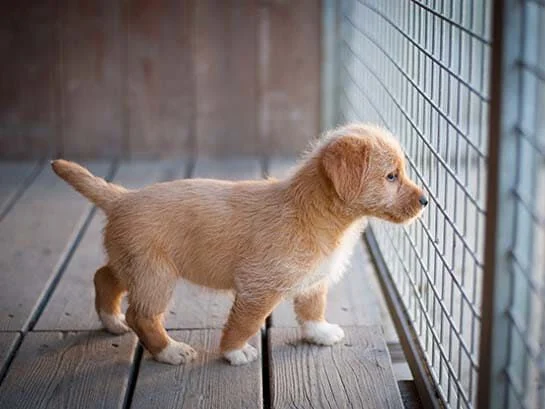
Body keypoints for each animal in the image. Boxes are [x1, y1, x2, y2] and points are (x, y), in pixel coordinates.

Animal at [51, 122, 424, 364]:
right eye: (391, 176)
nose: (425, 202)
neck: (314, 211)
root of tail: (121, 198)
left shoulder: (313, 280)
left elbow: (312, 308)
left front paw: (319, 333)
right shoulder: (258, 287)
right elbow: (245, 322)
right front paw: (234, 351)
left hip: (134, 264)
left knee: (104, 276)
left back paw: (111, 320)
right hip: (155, 275)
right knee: (141, 315)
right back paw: (169, 351)